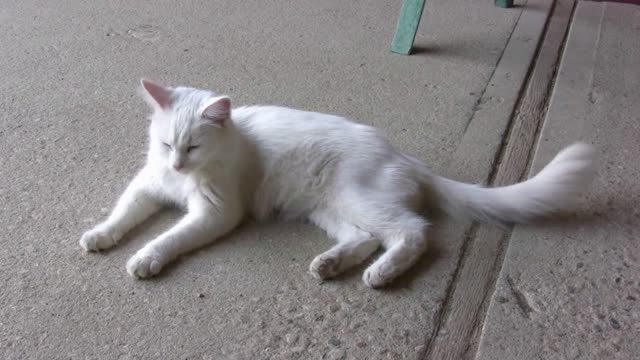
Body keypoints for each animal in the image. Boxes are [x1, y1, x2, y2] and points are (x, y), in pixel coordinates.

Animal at [79, 80, 596, 288]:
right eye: (167, 144)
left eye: (193, 147)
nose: (178, 166)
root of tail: (403, 157)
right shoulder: (148, 187)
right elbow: (122, 213)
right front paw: (100, 236)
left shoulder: (216, 212)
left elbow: (171, 236)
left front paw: (145, 258)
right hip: (328, 210)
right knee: (366, 238)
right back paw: (330, 264)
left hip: (357, 200)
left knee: (413, 233)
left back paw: (382, 274)